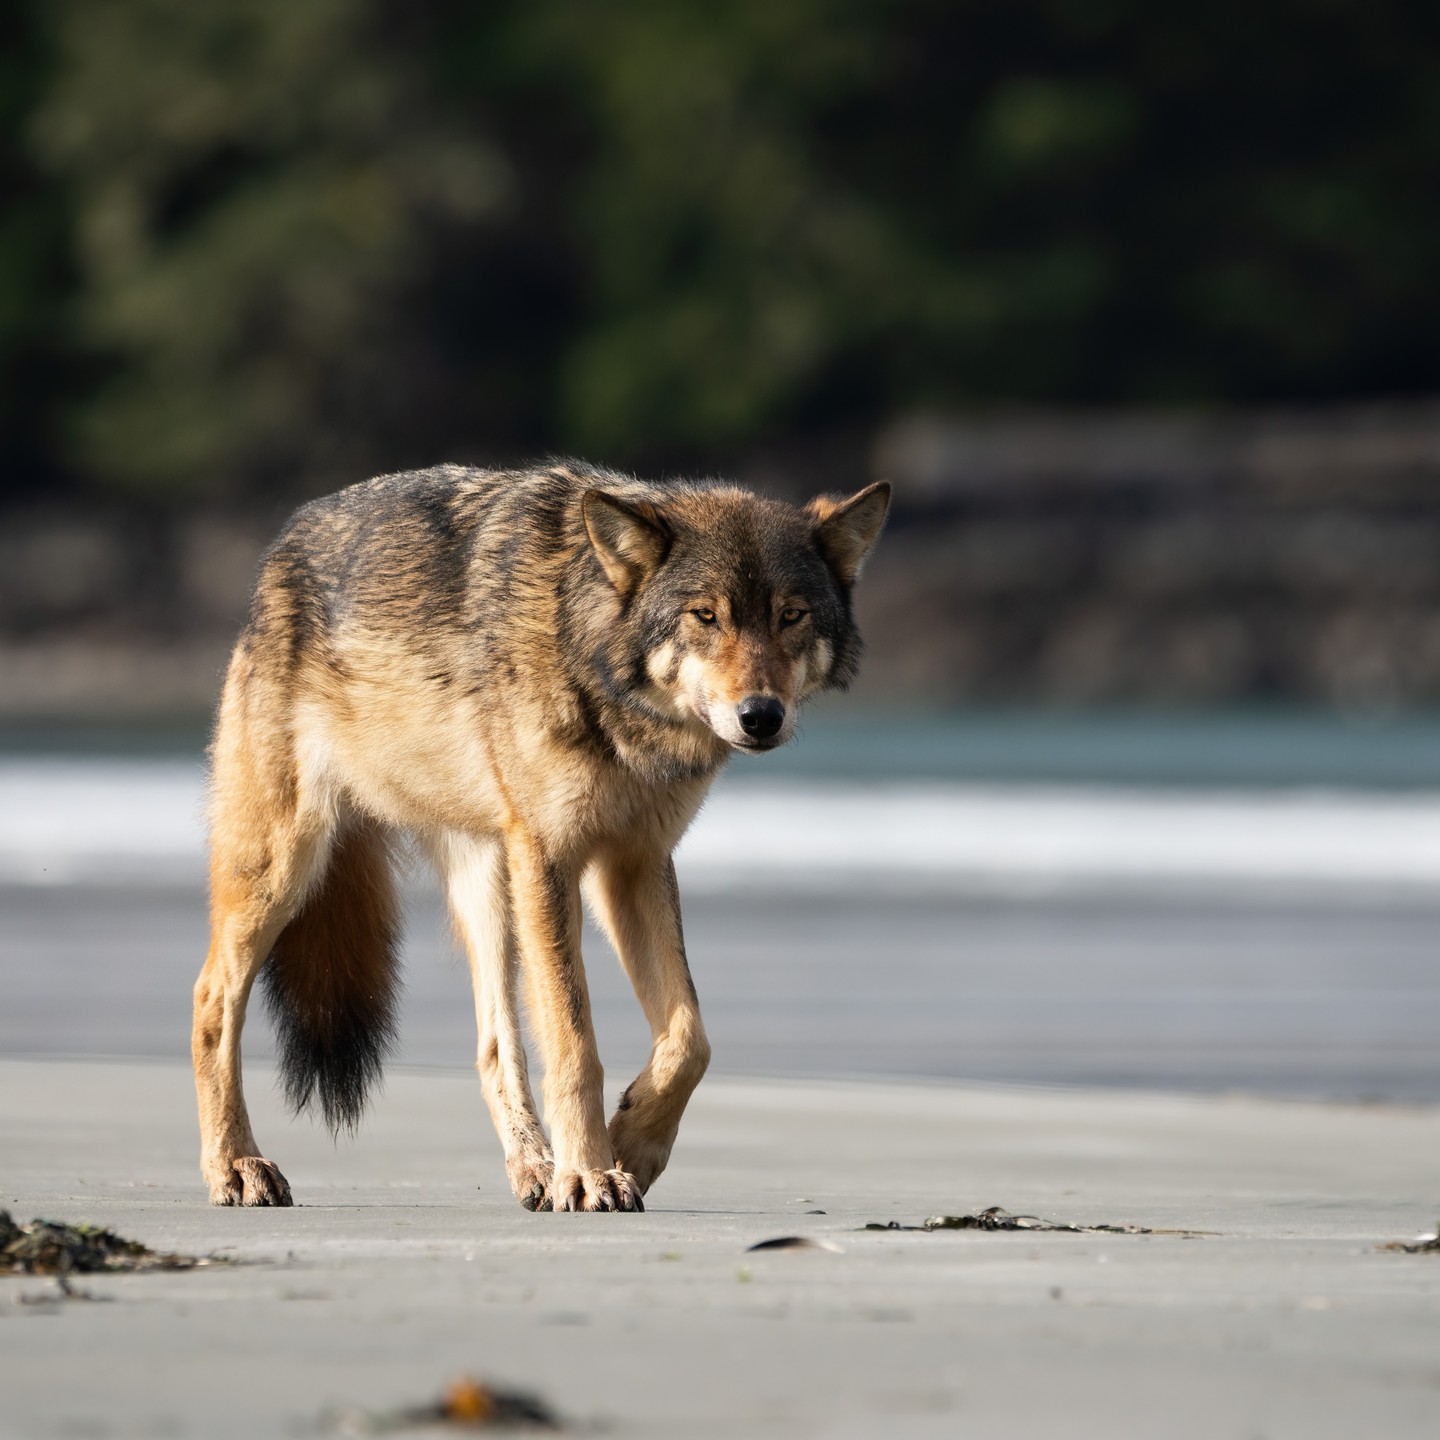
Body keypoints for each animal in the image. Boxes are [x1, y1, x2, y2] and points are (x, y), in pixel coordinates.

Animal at [192, 460, 889, 1212]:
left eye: (792, 615)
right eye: (706, 616)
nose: (761, 715)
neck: (598, 670)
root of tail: (285, 544)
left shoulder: (633, 861)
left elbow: (689, 1040)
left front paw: (631, 1145)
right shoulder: (555, 859)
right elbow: (576, 1043)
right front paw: (589, 1174)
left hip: (493, 888)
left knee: (496, 1046)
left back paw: (535, 1170)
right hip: (286, 870)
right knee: (211, 1000)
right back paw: (236, 1164)